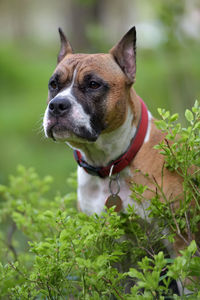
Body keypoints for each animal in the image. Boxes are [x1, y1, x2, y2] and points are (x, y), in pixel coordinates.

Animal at [43, 27, 190, 294]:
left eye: (93, 84)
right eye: (54, 84)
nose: (57, 104)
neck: (109, 164)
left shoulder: (181, 242)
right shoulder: (103, 246)